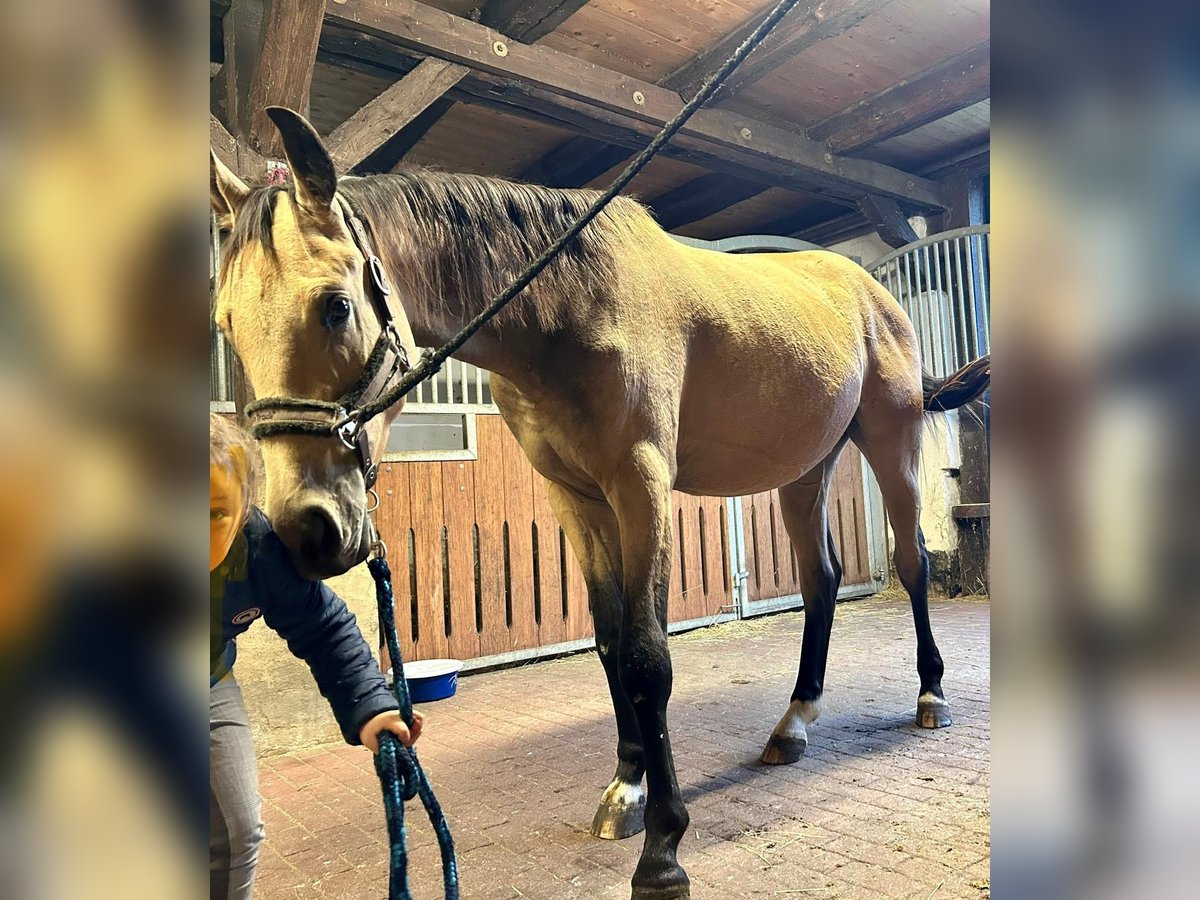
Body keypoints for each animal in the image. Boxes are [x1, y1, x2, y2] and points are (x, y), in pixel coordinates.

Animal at [210, 107, 990, 900]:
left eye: (335, 306)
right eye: (225, 323)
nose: (307, 530)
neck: (568, 307)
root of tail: (870, 289)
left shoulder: (639, 483)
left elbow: (648, 656)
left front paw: (664, 851)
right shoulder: (576, 496)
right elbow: (611, 639)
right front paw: (627, 789)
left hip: (891, 442)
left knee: (913, 562)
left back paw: (931, 697)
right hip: (807, 469)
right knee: (822, 581)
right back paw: (794, 723)